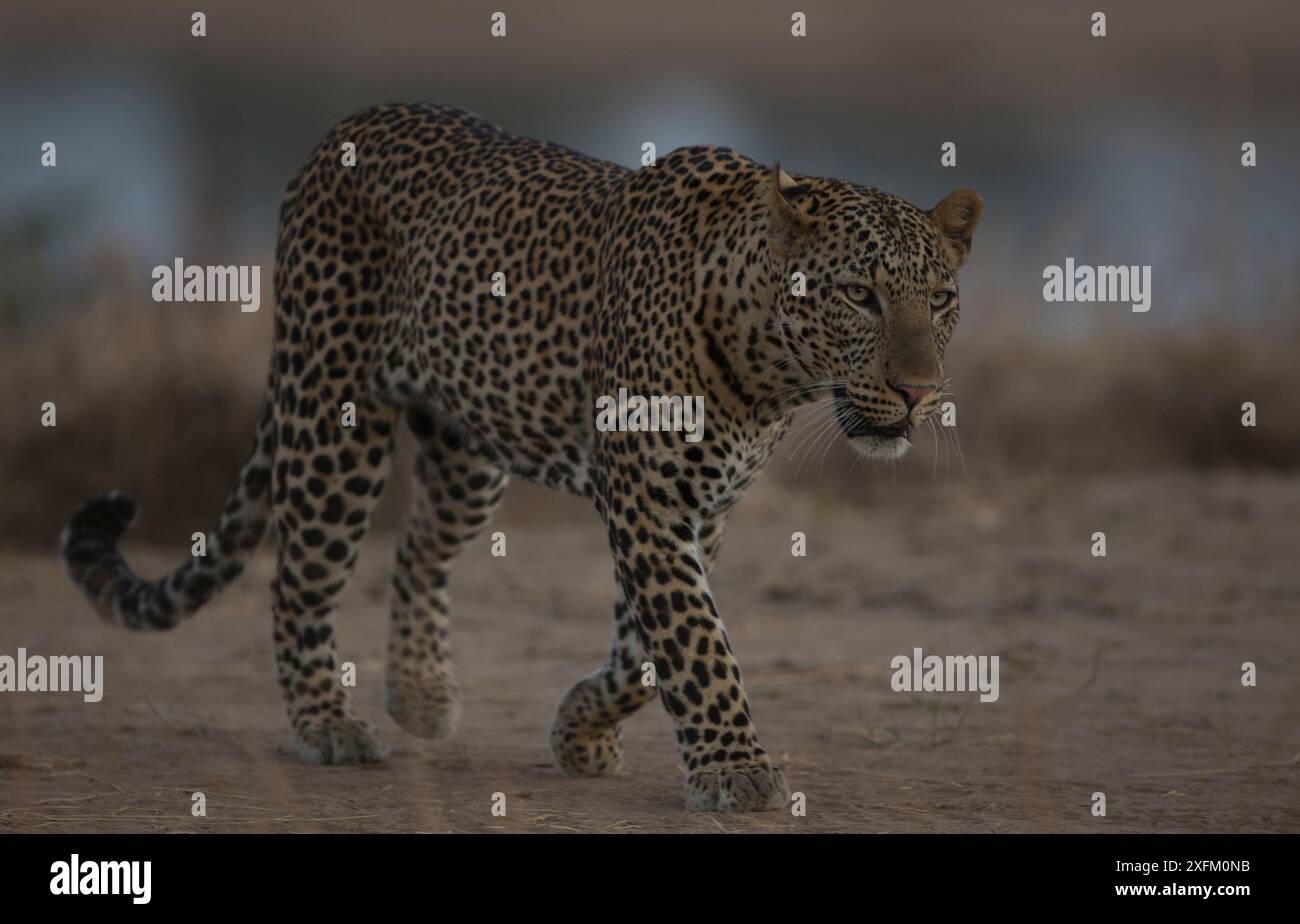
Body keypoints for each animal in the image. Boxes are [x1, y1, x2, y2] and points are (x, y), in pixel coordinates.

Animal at [61, 102, 982, 813]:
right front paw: (736, 770)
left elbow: (644, 652)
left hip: (470, 452)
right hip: (332, 416)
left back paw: (421, 694)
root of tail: (344, 128)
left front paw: (579, 726)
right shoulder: (649, 501)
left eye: (940, 299)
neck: (771, 374)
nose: (919, 393)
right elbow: (694, 640)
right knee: (300, 579)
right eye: (859, 295)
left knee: (418, 548)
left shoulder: (701, 508)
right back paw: (328, 721)